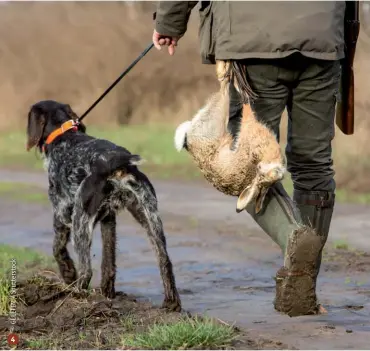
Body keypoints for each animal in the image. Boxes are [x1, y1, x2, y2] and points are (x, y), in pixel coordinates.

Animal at [25, 100, 181, 312]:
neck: (63, 135)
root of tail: (115, 163)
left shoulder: (61, 213)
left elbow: (57, 248)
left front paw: (68, 273)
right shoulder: (109, 218)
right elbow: (109, 262)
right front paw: (107, 293)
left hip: (79, 221)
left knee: (86, 270)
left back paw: (73, 296)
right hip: (150, 217)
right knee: (164, 260)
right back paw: (172, 303)